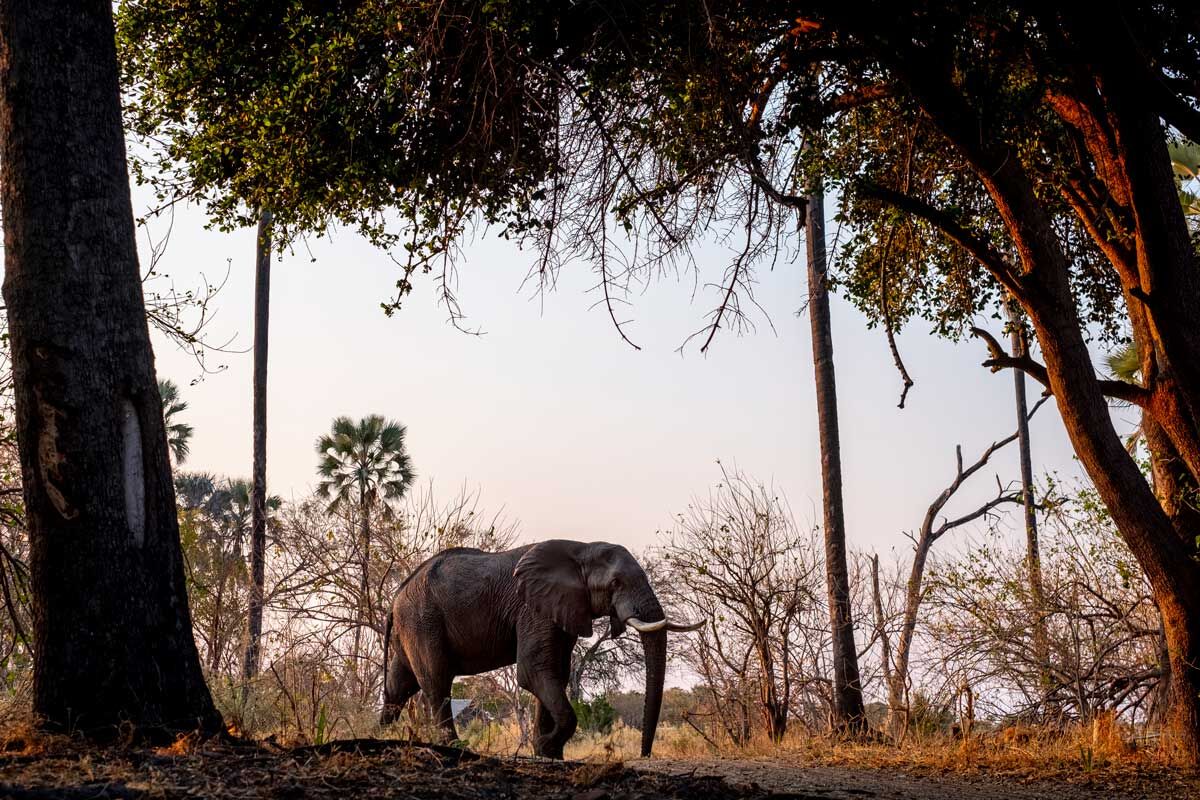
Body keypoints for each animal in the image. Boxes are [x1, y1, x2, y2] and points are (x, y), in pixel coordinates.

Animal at [379, 539, 702, 758]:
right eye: (615, 583)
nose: (643, 755)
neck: (581, 550)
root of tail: (396, 597)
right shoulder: (533, 608)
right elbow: (533, 671)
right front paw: (546, 746)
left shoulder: (562, 608)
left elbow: (555, 672)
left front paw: (548, 754)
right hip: (423, 621)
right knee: (436, 683)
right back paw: (455, 747)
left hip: (411, 626)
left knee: (399, 686)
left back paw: (378, 734)